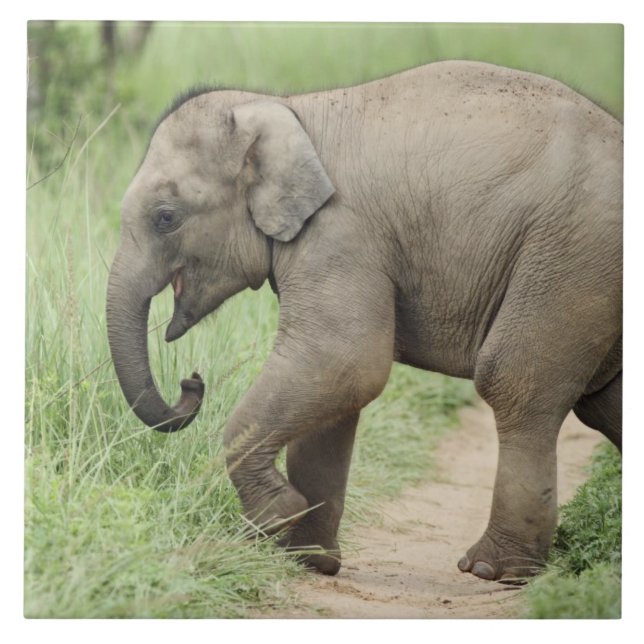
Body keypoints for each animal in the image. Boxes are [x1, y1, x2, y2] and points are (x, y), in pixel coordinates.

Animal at [106, 60, 622, 581]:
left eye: (166, 217)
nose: (192, 382)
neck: (286, 109)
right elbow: (333, 393)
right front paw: (308, 559)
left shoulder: (340, 233)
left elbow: (345, 361)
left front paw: (277, 518)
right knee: (604, 402)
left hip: (571, 260)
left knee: (515, 382)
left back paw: (489, 569)